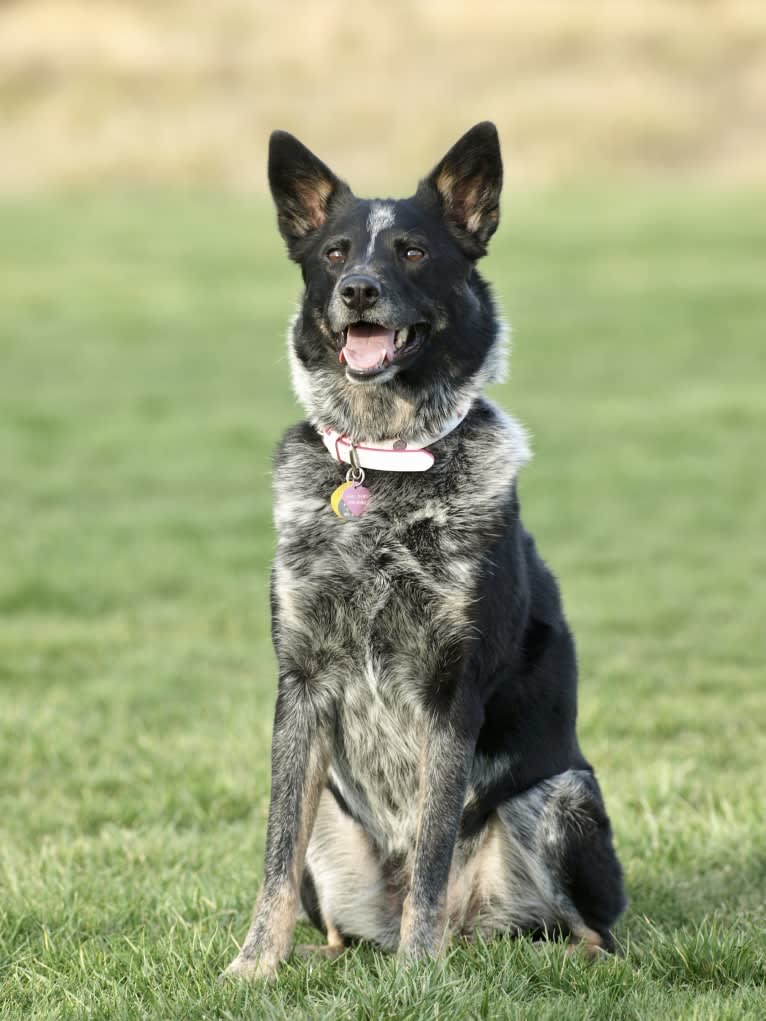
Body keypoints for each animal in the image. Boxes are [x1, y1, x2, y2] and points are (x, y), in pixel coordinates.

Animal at [223, 121, 629, 980]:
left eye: (411, 252)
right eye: (335, 252)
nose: (358, 291)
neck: (384, 462)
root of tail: (476, 932)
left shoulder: (452, 689)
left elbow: (435, 846)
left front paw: (415, 977)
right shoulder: (301, 685)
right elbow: (274, 853)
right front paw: (252, 967)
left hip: (564, 797)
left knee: (589, 925)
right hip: (333, 831)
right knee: (336, 912)